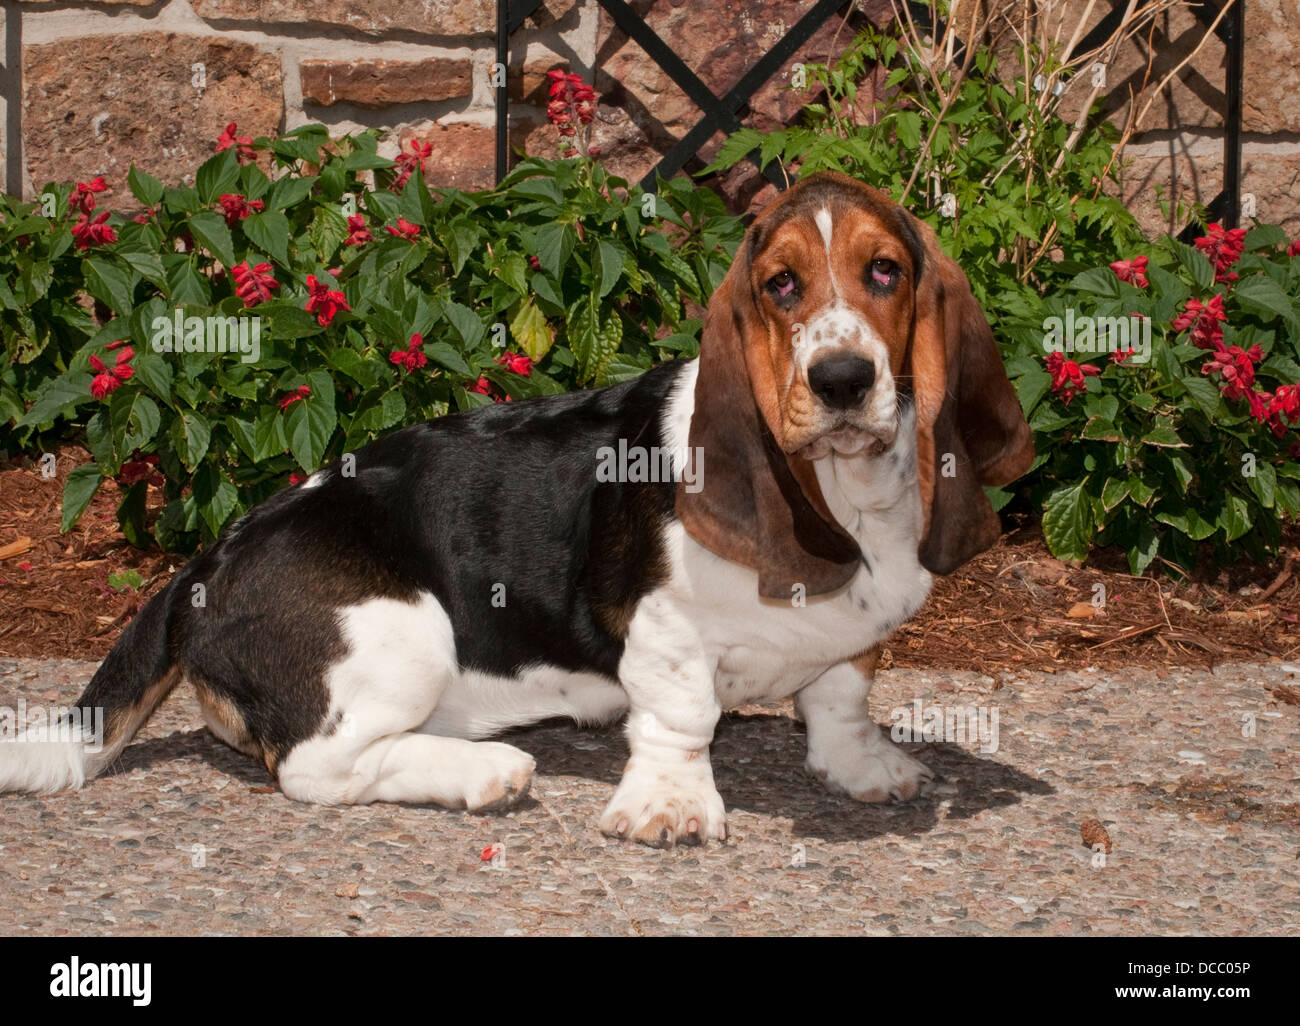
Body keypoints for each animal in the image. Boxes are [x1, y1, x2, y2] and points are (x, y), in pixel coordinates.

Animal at [0, 170, 1034, 847]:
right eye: (781, 285)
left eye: (887, 272)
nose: (844, 379)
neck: (843, 496)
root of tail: (203, 565)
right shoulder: (663, 634)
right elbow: (681, 717)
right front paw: (671, 810)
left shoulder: (849, 647)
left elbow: (842, 696)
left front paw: (867, 770)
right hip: (404, 629)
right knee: (317, 768)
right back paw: (486, 774)